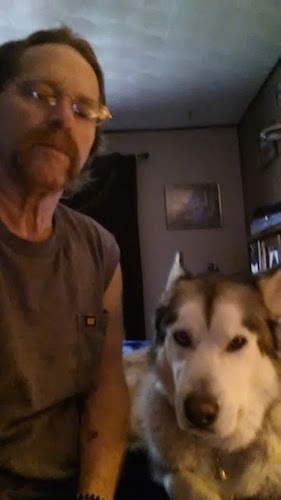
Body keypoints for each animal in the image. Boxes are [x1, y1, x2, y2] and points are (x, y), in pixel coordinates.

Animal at [123, 254, 280, 500]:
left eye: (237, 342)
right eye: (182, 337)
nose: (199, 412)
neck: (221, 450)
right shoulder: (166, 469)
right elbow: (179, 480)